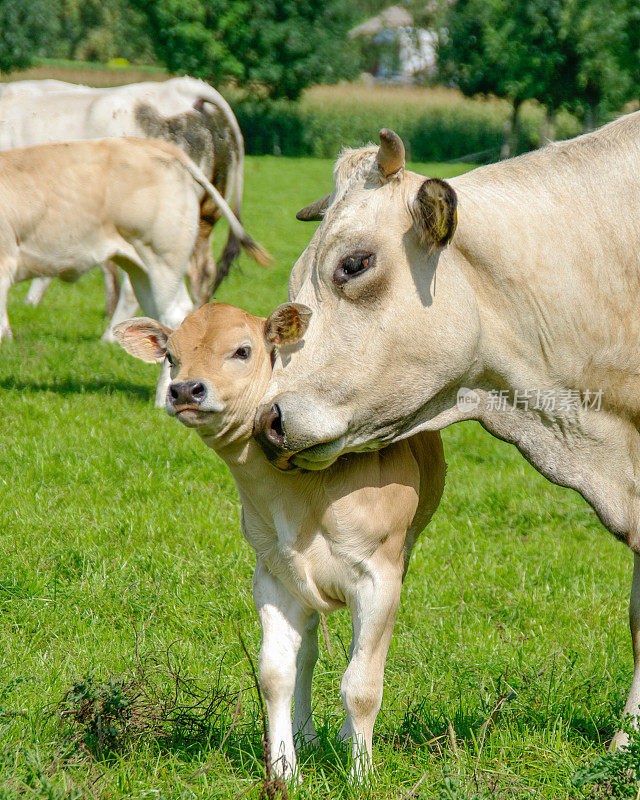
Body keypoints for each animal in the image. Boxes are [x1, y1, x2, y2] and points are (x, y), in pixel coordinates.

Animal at [112, 302, 444, 780]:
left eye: (242, 350)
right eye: (171, 356)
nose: (185, 390)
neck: (300, 496)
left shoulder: (380, 577)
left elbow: (362, 684)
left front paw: (361, 774)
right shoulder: (272, 575)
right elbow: (276, 674)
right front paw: (284, 769)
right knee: (307, 653)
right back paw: (307, 737)